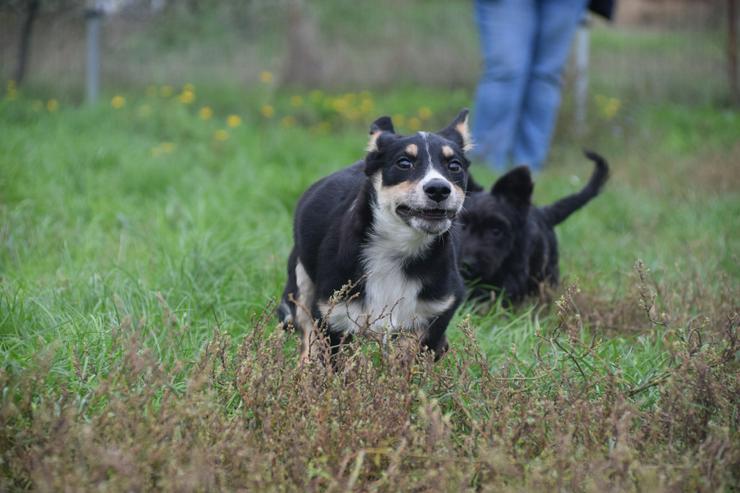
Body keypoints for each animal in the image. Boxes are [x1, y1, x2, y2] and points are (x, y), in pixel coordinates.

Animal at [278, 109, 474, 360]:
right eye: (404, 163)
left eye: (454, 166)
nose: (439, 189)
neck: (397, 251)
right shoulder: (334, 316)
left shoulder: (433, 315)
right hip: (301, 283)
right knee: (306, 337)